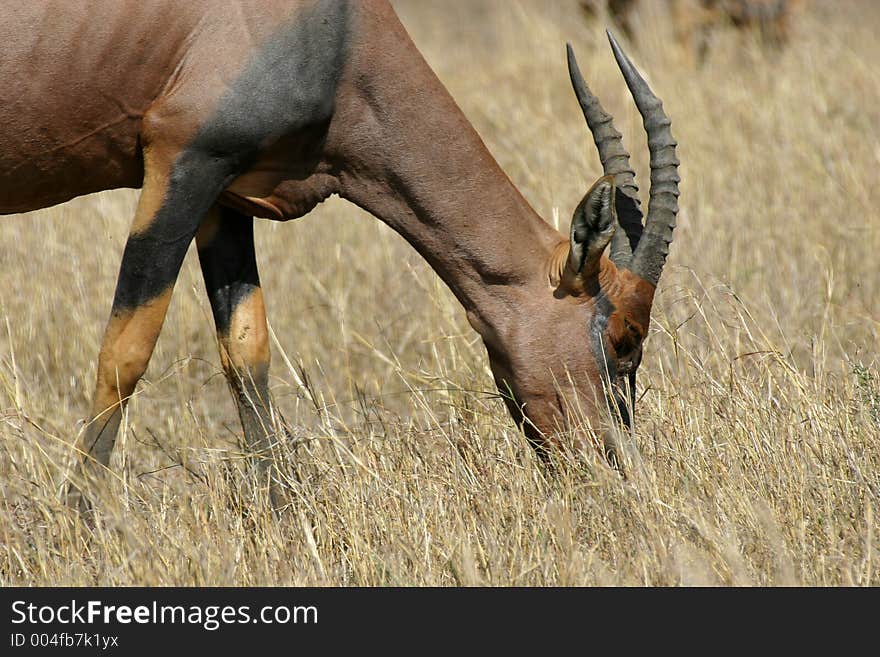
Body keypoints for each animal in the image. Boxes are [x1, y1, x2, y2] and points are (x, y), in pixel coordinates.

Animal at [0, 1, 676, 512]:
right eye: (624, 340)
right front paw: (79, 519)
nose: (616, 477)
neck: (337, 28)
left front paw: (283, 512)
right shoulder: (181, 163)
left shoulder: (225, 192)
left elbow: (245, 348)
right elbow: (127, 350)